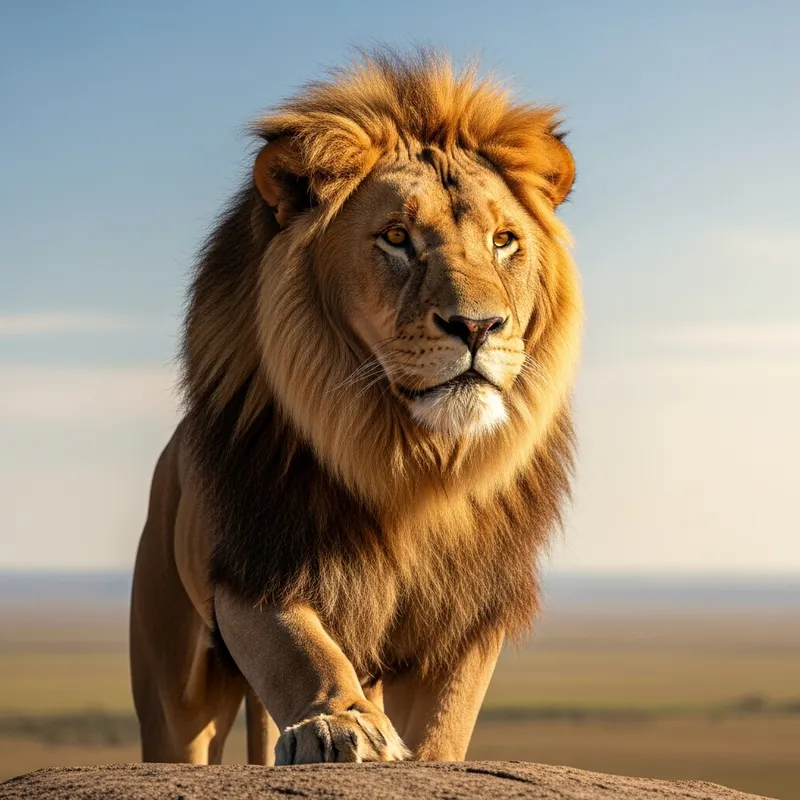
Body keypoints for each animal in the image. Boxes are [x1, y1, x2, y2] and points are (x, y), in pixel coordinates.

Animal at [129, 49, 582, 766]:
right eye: (396, 236)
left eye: (504, 240)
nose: (479, 326)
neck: (409, 463)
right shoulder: (256, 567)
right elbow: (302, 653)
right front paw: (340, 725)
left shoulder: (466, 616)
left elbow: (445, 724)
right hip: (173, 683)